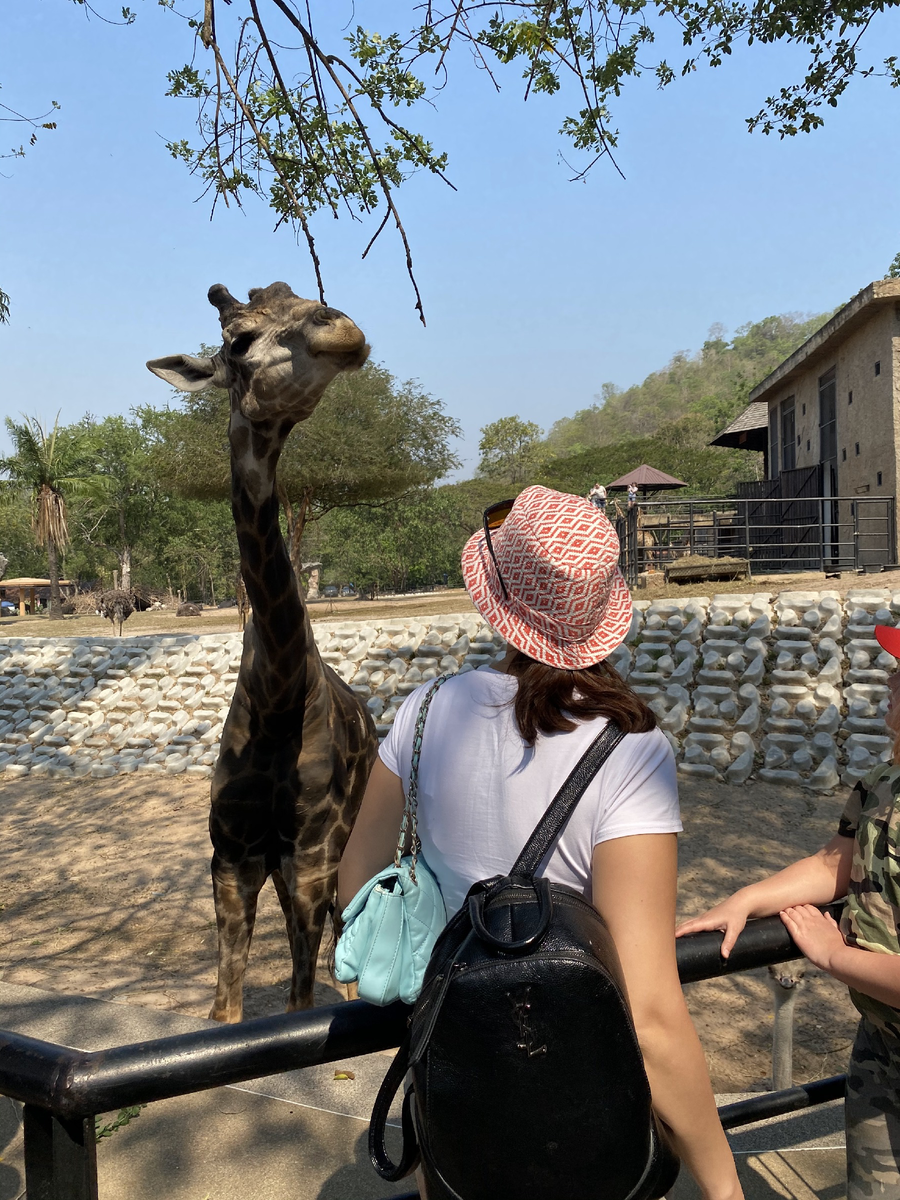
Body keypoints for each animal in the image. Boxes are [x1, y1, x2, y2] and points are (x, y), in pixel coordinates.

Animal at [147, 280, 376, 1022]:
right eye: (239, 340)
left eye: (307, 298)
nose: (342, 330)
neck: (276, 700)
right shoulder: (233, 856)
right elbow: (225, 1010)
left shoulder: (310, 854)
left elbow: (300, 1005)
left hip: (344, 836)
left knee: (340, 927)